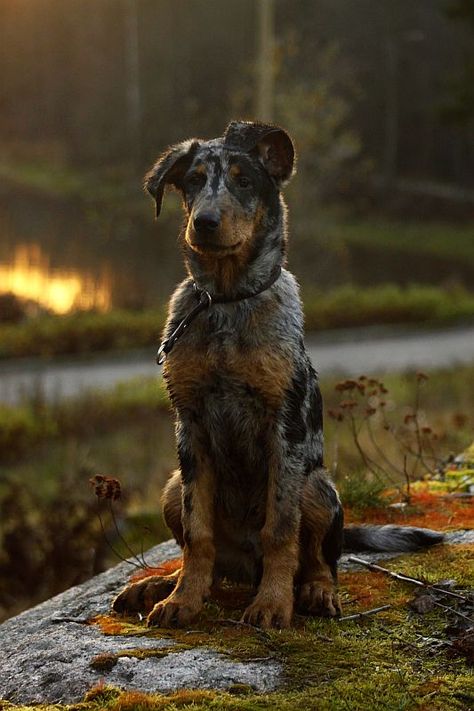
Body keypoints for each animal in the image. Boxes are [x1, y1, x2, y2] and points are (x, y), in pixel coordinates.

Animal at [112, 122, 444, 628]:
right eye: (193, 181)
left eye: (244, 181)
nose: (204, 222)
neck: (226, 301)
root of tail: (242, 567)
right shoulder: (190, 425)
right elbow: (197, 532)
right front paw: (182, 600)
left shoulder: (283, 429)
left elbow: (280, 530)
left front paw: (271, 604)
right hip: (172, 485)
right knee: (205, 554)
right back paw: (158, 586)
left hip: (319, 487)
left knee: (322, 561)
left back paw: (313, 592)